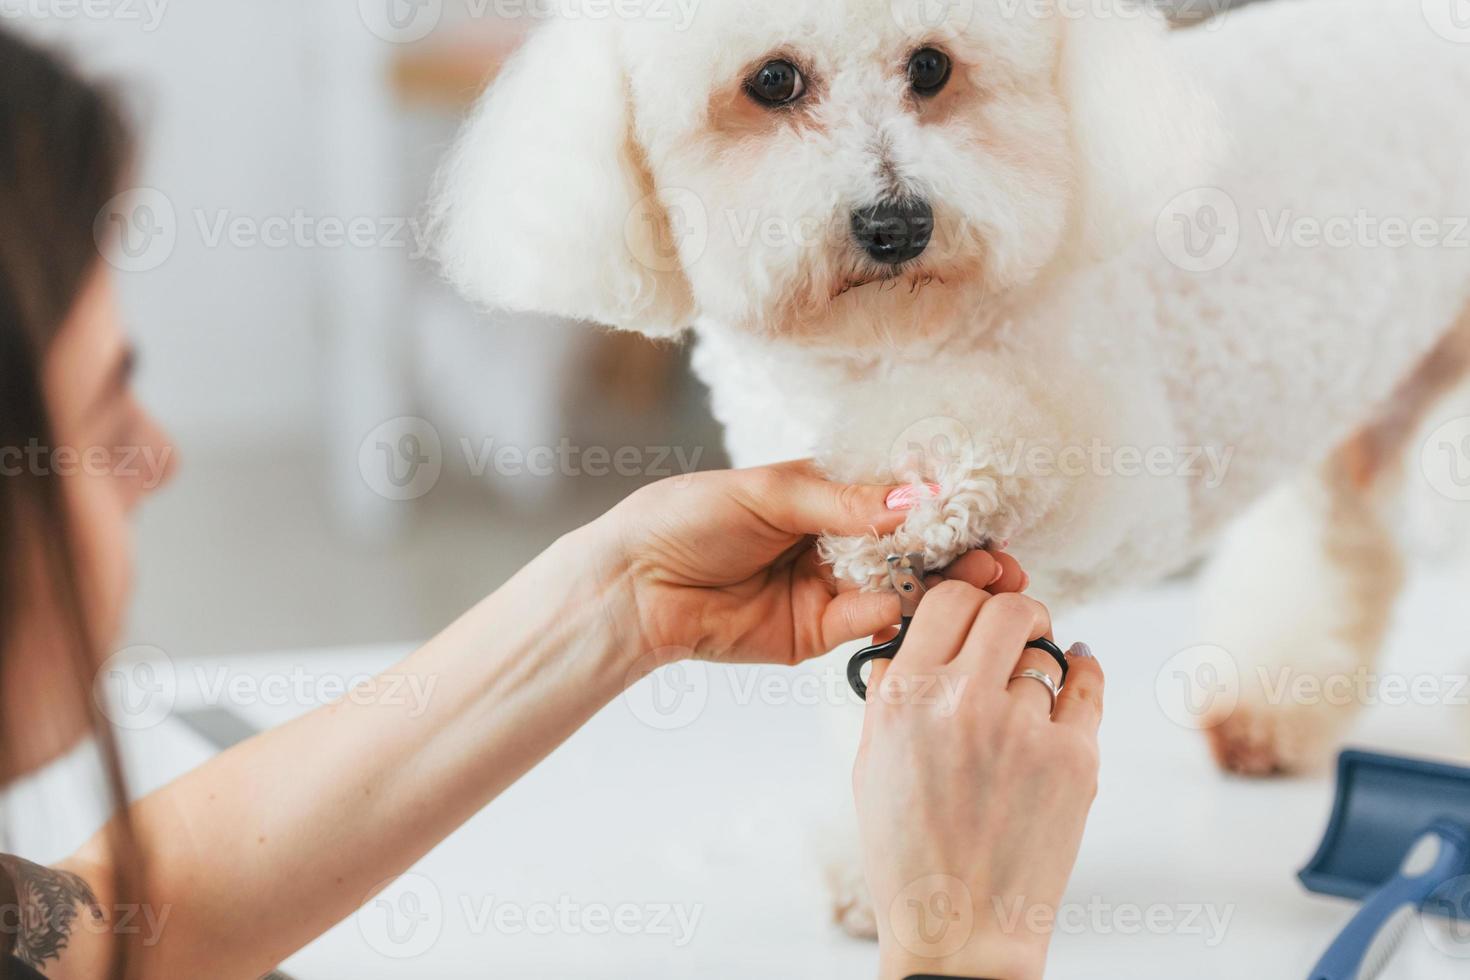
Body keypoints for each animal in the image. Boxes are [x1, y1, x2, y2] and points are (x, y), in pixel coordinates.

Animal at [443, 0, 1470, 793]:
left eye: (931, 66)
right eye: (773, 81)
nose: (896, 224)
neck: (880, 350)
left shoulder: (1121, 477)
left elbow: (984, 426)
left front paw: (924, 491)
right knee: (1342, 542)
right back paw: (1267, 718)